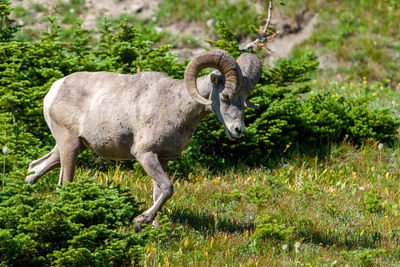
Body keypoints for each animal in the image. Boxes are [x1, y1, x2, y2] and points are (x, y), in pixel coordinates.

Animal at [25, 51, 262, 231]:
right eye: (225, 97)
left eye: (244, 100)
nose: (238, 130)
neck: (176, 105)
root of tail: (54, 90)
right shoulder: (145, 155)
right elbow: (168, 188)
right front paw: (140, 221)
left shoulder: (163, 159)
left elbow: (159, 191)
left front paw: (155, 227)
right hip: (70, 145)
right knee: (64, 182)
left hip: (71, 147)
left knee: (35, 168)